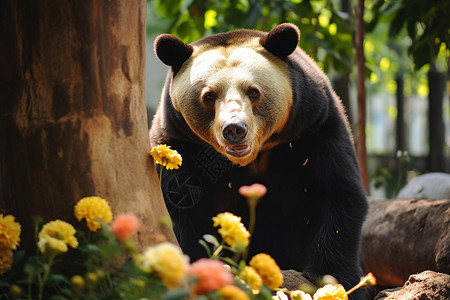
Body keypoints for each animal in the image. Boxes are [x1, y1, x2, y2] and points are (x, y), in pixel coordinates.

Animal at [151, 22, 370, 298]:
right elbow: (179, 206)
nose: (234, 128)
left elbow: (336, 196)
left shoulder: (314, 127)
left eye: (253, 92)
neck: (251, 157)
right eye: (208, 96)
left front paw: (334, 282)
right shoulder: (177, 143)